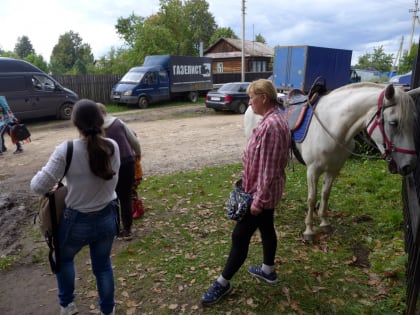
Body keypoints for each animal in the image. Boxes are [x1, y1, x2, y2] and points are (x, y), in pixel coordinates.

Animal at [244, 83, 418, 242]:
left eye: (413, 122)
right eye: (393, 123)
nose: (409, 165)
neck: (332, 126)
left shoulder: (333, 169)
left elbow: (325, 194)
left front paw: (324, 222)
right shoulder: (312, 170)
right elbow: (312, 198)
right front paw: (309, 230)